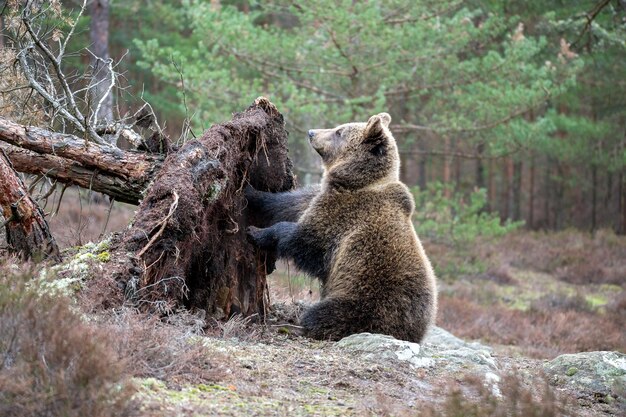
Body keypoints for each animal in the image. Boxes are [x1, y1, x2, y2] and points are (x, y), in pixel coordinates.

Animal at [244, 111, 434, 342]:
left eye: (339, 132)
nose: (312, 132)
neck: (356, 182)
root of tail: (416, 332)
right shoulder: (319, 197)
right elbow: (287, 203)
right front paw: (251, 191)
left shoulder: (342, 215)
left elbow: (307, 240)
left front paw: (256, 232)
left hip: (365, 299)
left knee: (328, 315)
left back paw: (298, 326)